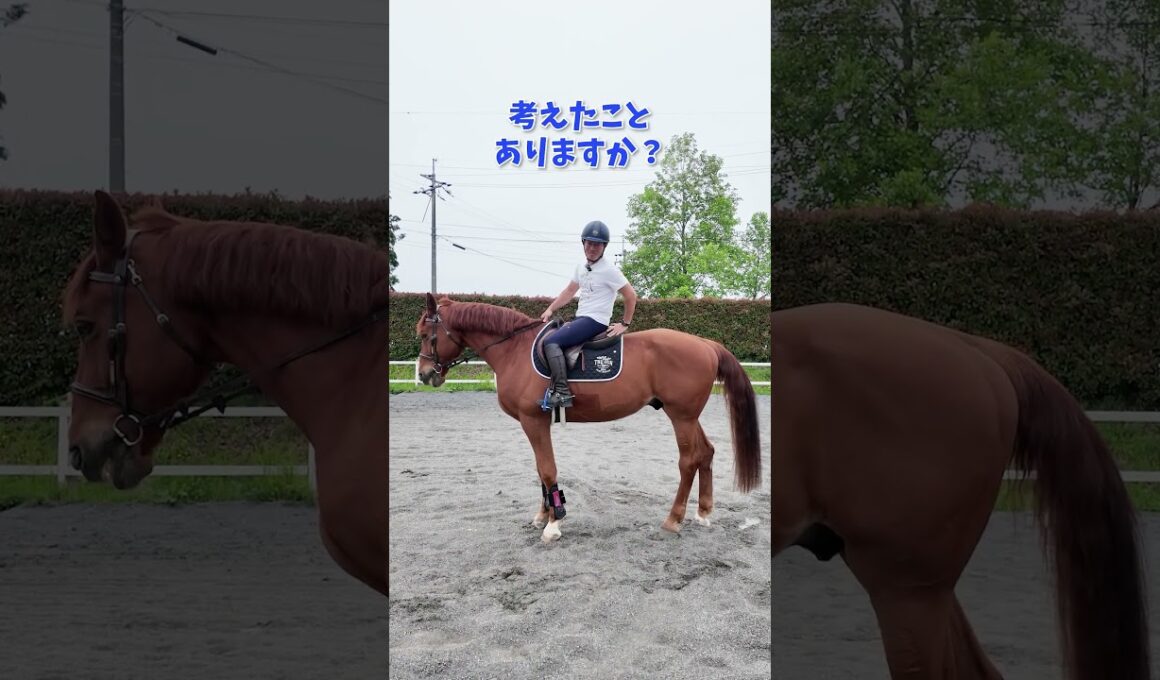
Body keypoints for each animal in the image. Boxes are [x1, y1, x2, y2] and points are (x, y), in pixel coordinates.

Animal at [413, 292, 763, 543]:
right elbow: (540, 471)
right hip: (687, 416)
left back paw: (673, 519)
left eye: (428, 334)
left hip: (681, 417)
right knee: (707, 452)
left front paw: (554, 523)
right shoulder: (535, 423)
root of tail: (706, 343)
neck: (514, 349)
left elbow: (547, 470)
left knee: (689, 460)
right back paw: (703, 513)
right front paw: (544, 514)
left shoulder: (533, 420)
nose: (425, 374)